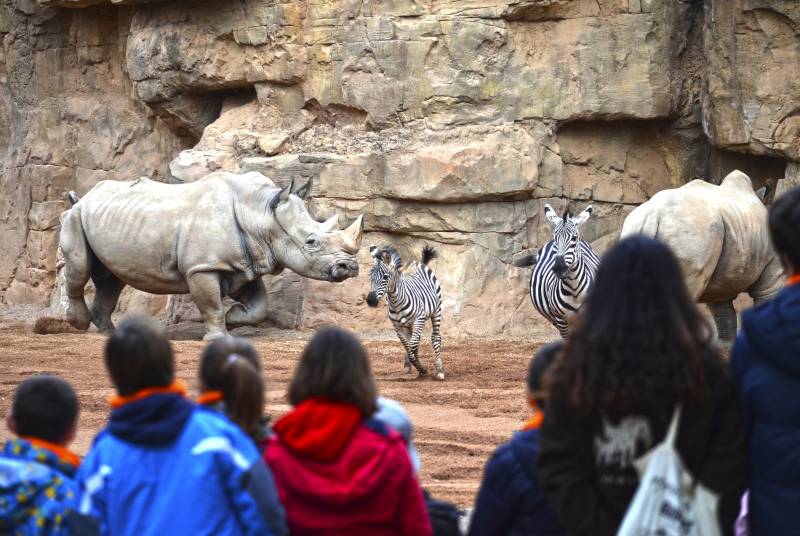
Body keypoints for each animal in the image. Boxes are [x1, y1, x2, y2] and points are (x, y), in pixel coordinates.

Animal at [368, 245, 446, 378]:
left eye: (385, 277)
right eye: (370, 276)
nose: (371, 300)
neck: (396, 303)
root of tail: (418, 263)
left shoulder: (418, 319)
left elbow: (412, 346)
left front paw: (421, 367)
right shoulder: (398, 326)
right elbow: (408, 346)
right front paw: (417, 367)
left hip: (436, 311)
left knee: (435, 338)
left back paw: (439, 369)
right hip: (409, 324)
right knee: (413, 341)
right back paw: (409, 365)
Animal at [512, 203, 600, 338]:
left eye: (574, 238)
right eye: (555, 238)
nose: (559, 268)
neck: (574, 289)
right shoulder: (561, 321)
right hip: (553, 318)